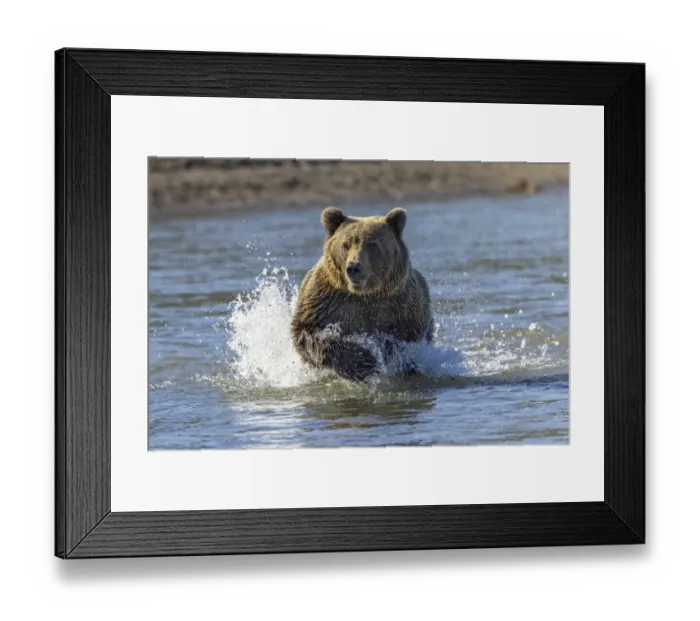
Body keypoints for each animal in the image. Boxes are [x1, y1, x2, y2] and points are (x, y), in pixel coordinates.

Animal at [291, 206, 434, 381]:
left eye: (372, 244)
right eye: (346, 244)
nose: (353, 267)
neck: (364, 295)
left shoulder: (403, 308)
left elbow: (405, 342)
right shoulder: (325, 303)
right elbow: (309, 333)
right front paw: (364, 360)